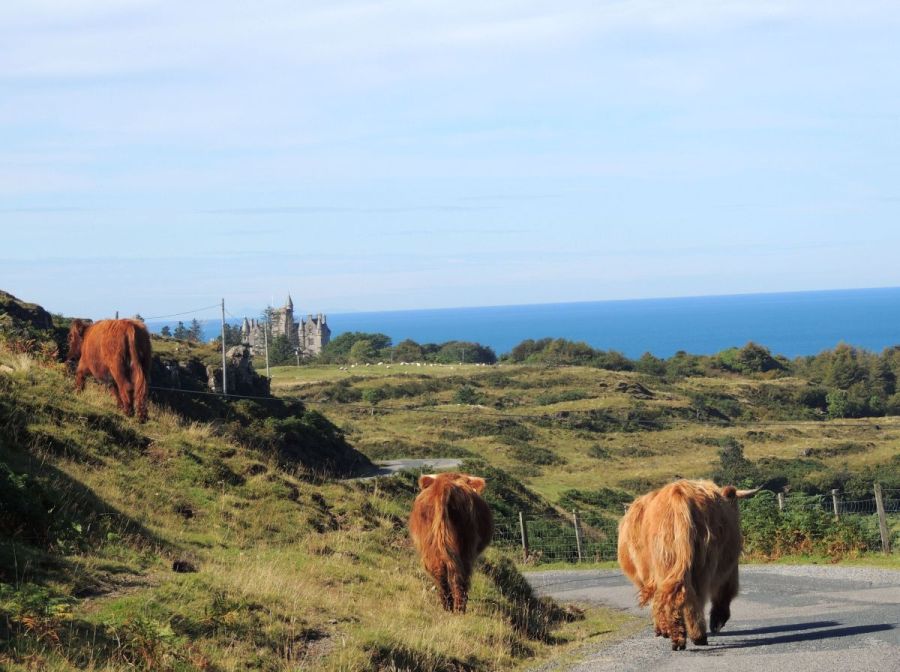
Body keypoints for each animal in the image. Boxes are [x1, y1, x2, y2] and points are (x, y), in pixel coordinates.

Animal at [408, 472, 492, 616]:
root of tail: (444, 485)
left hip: (431, 546)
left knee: (440, 573)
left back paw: (447, 607)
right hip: (466, 546)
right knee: (460, 576)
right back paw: (459, 609)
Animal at [616, 480, 756, 648]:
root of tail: (679, 493)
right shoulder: (730, 568)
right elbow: (725, 592)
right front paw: (717, 621)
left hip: (665, 563)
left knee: (669, 595)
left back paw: (674, 635)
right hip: (703, 564)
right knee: (693, 596)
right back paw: (697, 636)